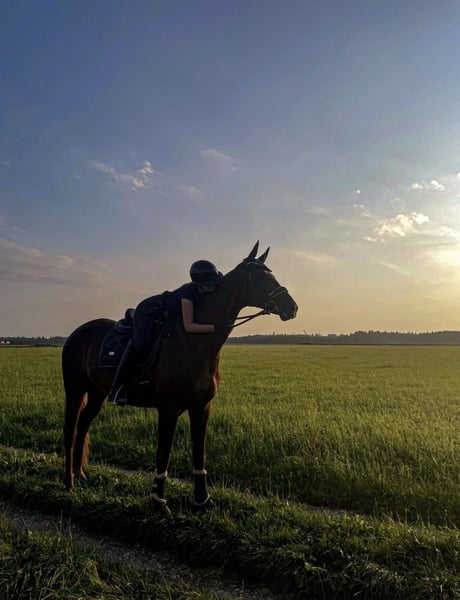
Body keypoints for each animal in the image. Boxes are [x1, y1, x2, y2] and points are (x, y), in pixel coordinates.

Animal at [62, 242, 298, 511]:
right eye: (259, 276)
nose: (292, 307)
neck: (194, 342)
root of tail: (77, 333)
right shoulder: (169, 408)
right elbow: (163, 453)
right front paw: (158, 500)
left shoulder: (201, 407)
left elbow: (199, 452)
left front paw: (202, 499)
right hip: (75, 389)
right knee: (70, 431)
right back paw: (68, 482)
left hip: (97, 393)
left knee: (83, 426)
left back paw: (80, 474)